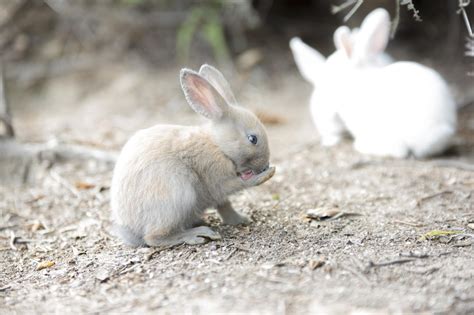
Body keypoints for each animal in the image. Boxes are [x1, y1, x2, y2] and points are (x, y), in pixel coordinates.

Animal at [109, 65, 276, 247]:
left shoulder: (220, 195)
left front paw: (241, 219)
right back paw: (198, 234)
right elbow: (239, 184)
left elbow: (225, 206)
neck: (219, 145)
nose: (265, 165)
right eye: (253, 139)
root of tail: (130, 229)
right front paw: (266, 175)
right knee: (155, 237)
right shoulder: (218, 179)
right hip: (178, 194)